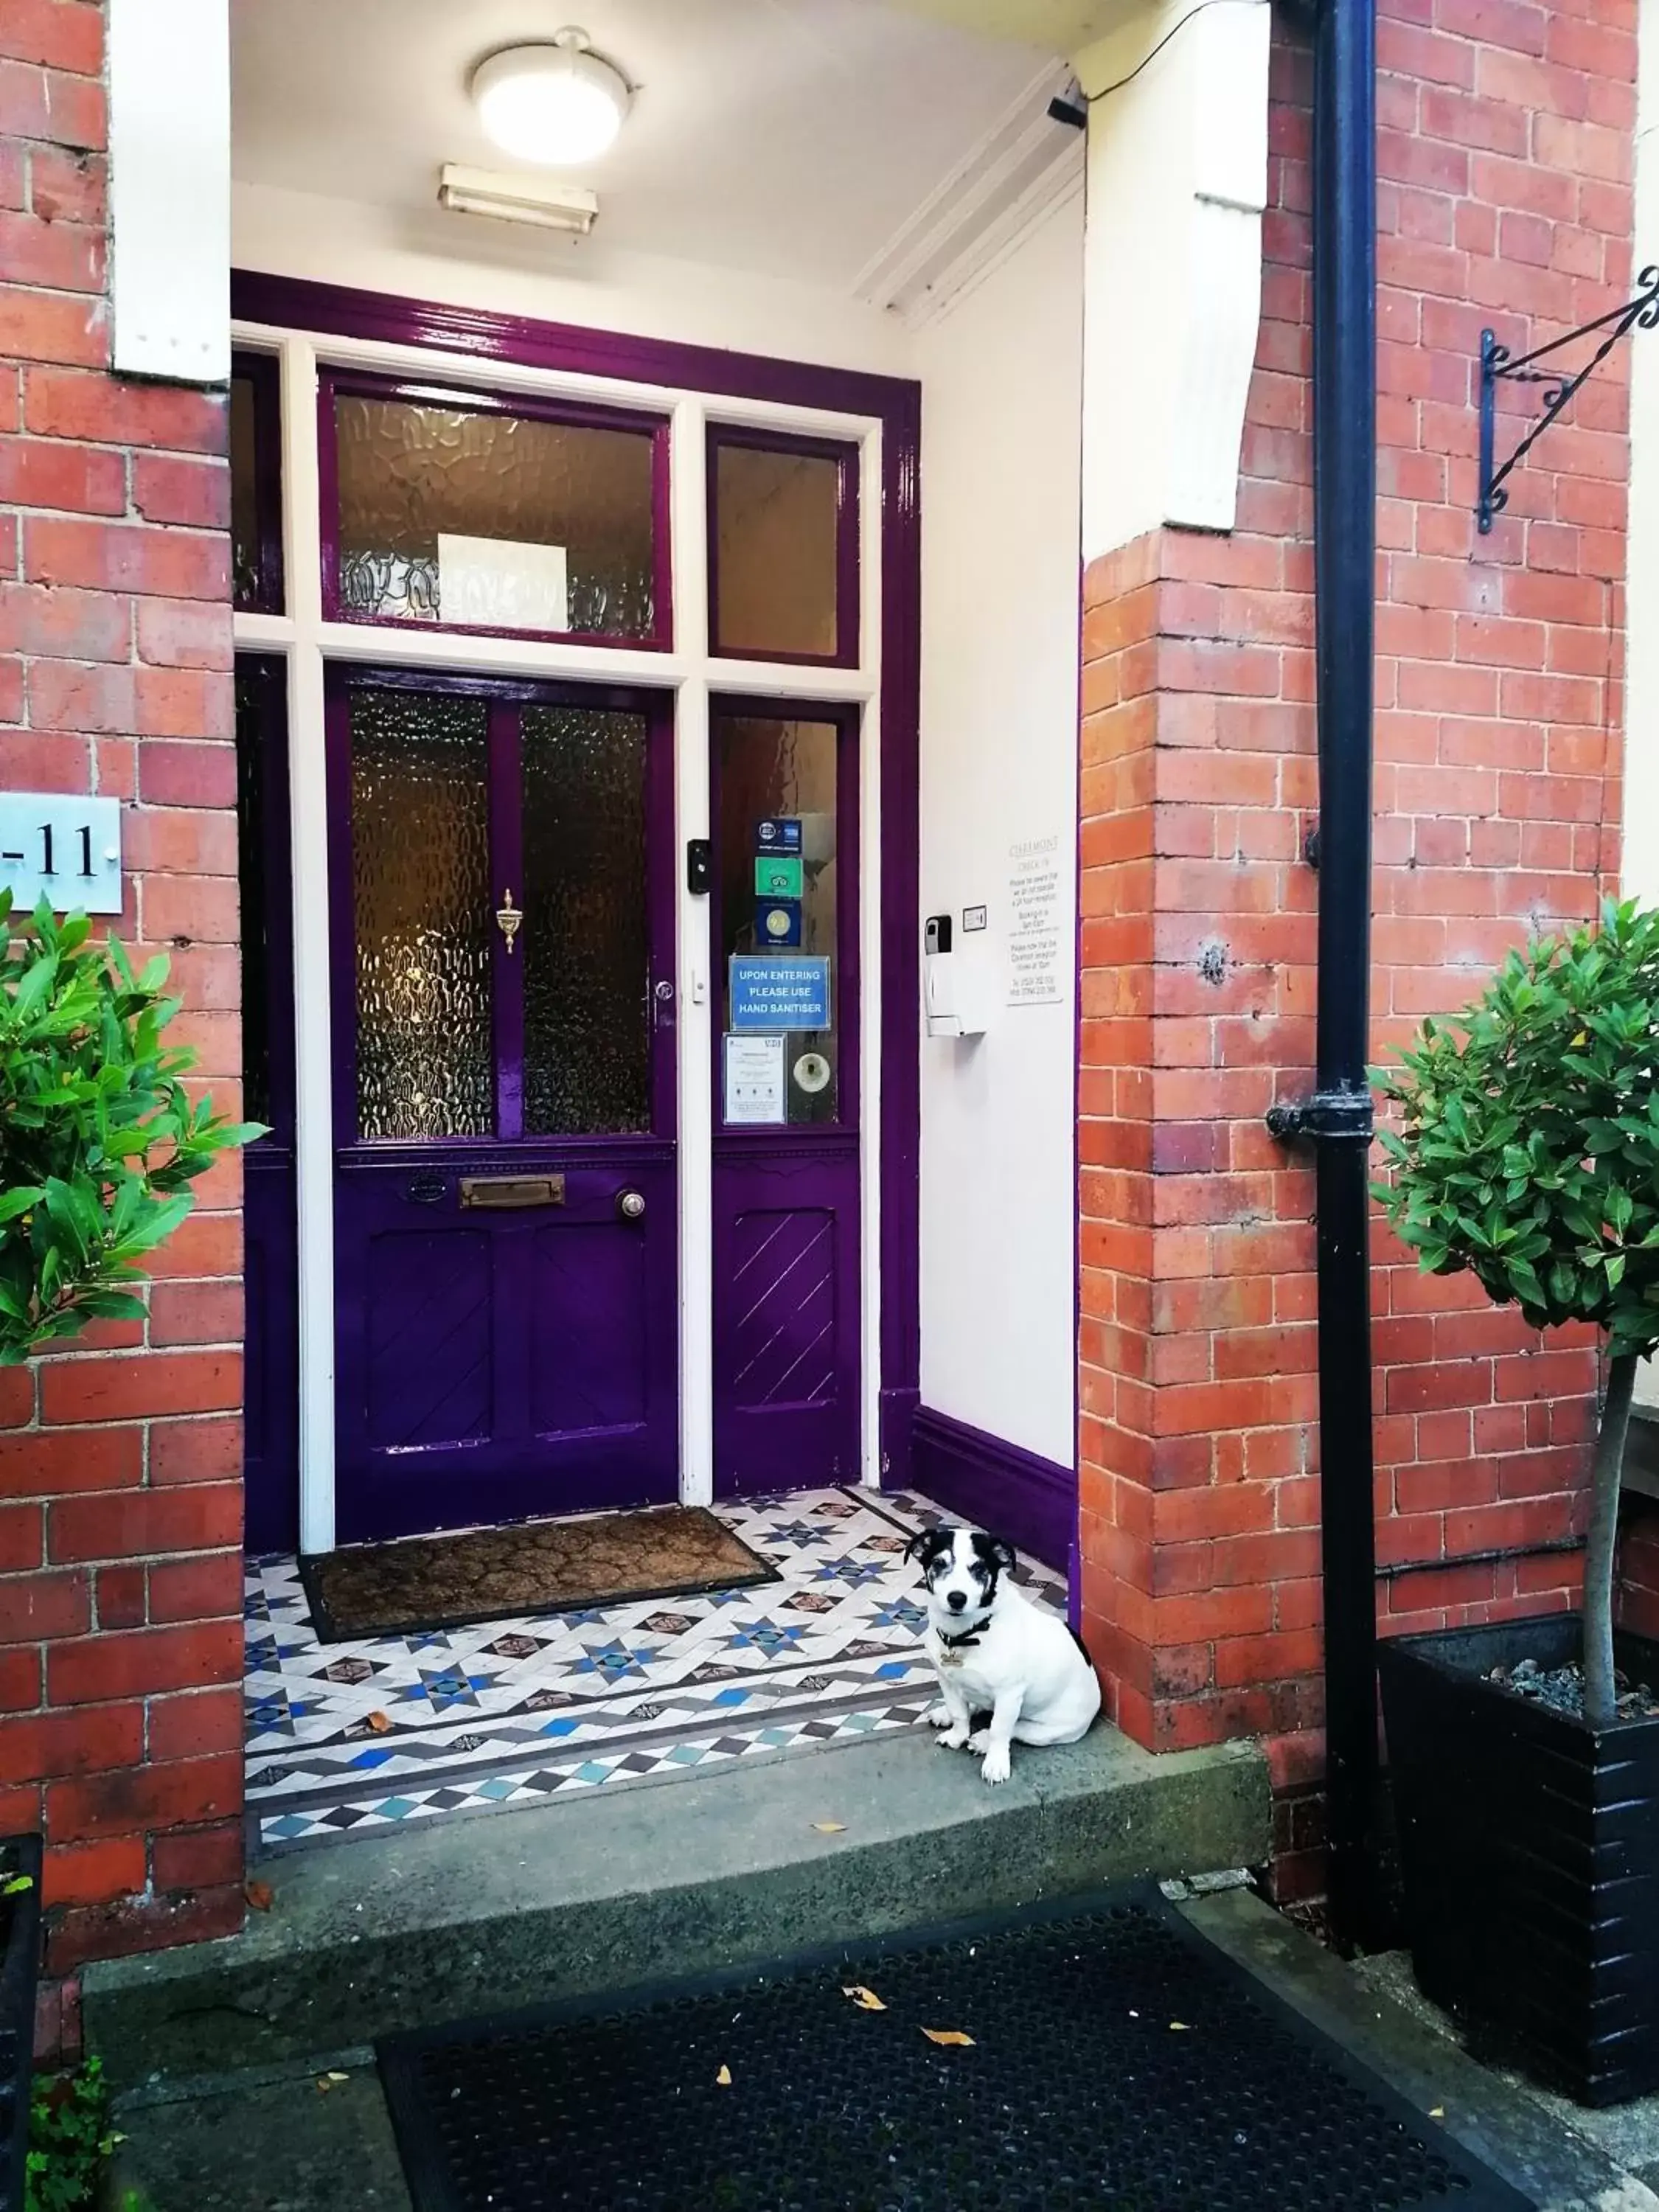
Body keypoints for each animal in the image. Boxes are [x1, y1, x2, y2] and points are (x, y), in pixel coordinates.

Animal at [911, 1531, 1106, 1787]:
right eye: (938, 1563)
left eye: (979, 1568)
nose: (957, 1598)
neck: (970, 1633)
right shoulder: (947, 1681)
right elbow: (959, 1712)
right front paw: (956, 1735)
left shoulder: (1009, 1696)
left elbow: (1000, 1730)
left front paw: (995, 1763)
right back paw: (945, 1714)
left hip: (1048, 1732)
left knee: (1016, 1729)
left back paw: (982, 1741)